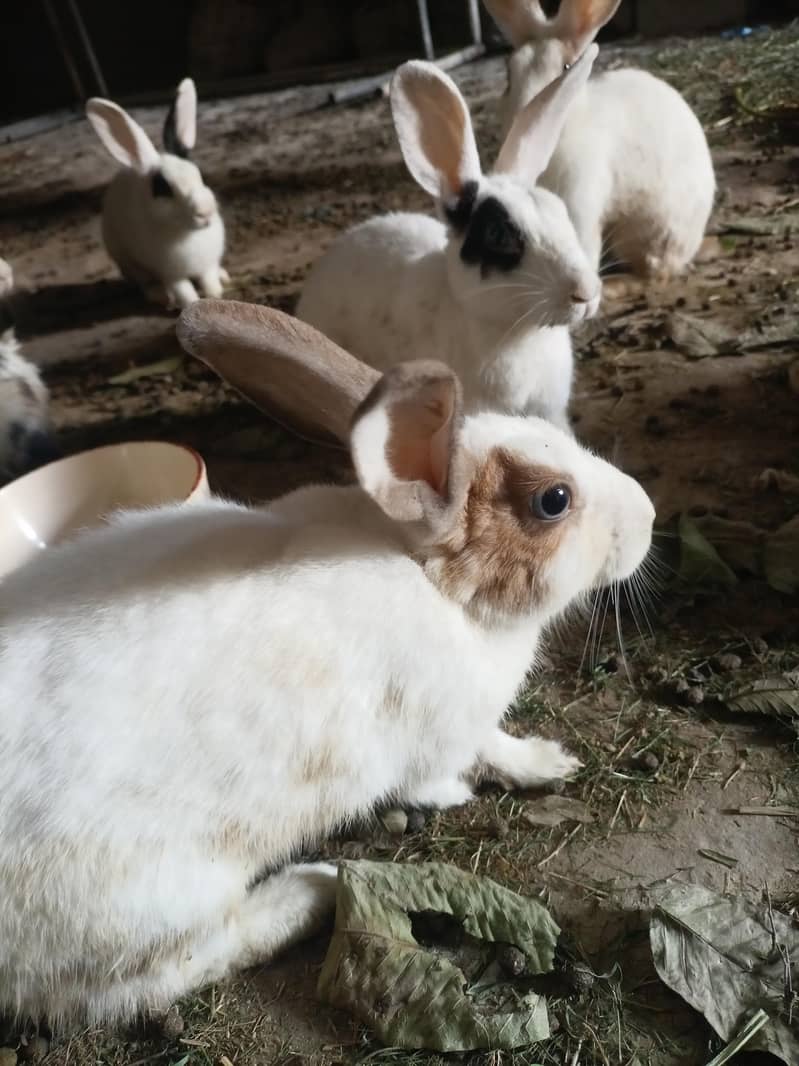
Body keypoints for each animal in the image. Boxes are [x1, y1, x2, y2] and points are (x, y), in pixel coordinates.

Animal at [0, 299, 655, 1025]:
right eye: (553, 501)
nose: (650, 517)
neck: (431, 581)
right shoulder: (435, 738)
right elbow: (451, 770)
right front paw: (473, 789)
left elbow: (496, 746)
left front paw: (549, 762)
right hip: (153, 902)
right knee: (157, 977)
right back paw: (309, 892)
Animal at [86, 78, 227, 309]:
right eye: (163, 190)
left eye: (199, 174)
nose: (206, 211)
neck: (186, 234)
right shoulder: (172, 275)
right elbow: (185, 292)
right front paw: (193, 305)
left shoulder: (207, 264)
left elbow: (209, 280)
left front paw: (216, 295)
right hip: (128, 262)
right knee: (145, 282)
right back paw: (160, 296)